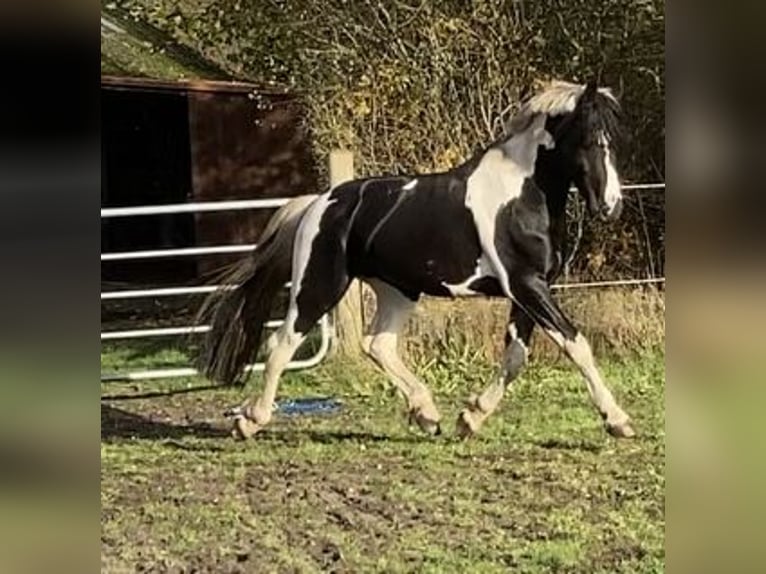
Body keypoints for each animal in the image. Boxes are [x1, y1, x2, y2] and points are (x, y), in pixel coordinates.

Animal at [196, 81, 636, 440]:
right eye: (590, 139)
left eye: (614, 141)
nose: (610, 206)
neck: (522, 196)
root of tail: (318, 203)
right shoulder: (526, 285)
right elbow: (576, 345)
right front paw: (618, 420)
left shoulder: (530, 289)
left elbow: (516, 358)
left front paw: (469, 418)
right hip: (319, 286)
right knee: (282, 343)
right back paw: (249, 421)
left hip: (398, 290)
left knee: (378, 344)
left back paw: (427, 414)